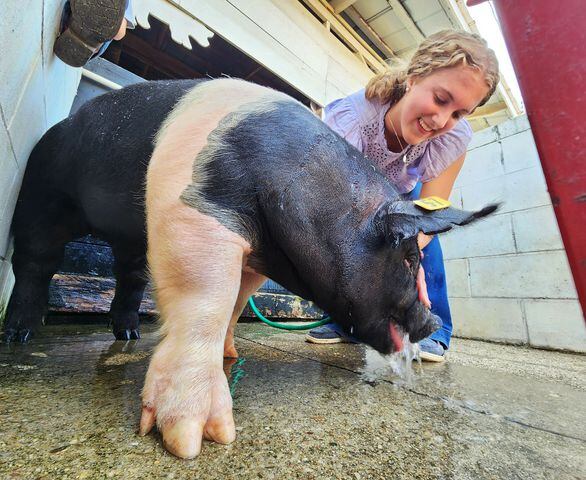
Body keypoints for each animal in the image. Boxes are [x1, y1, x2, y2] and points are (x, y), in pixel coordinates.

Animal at [1, 78, 492, 458]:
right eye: (409, 258)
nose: (431, 321)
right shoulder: (197, 209)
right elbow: (207, 298)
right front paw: (195, 440)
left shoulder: (256, 257)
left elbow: (236, 301)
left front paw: (230, 354)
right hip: (42, 190)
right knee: (35, 259)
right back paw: (19, 335)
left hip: (128, 237)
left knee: (132, 274)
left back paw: (129, 334)